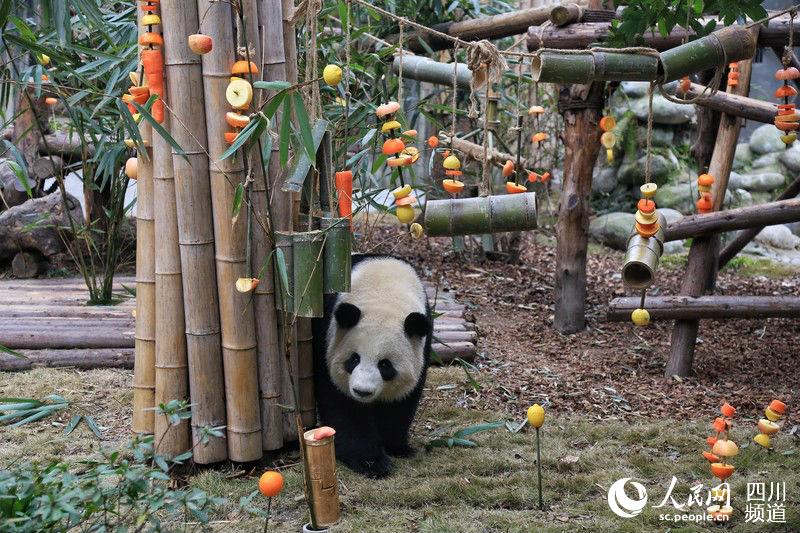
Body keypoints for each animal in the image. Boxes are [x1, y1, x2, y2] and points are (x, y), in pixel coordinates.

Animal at [310, 254, 432, 478]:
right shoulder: (328, 336)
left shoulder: (423, 344)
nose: (362, 391)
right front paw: (371, 461)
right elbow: (343, 404)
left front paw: (398, 447)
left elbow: (400, 403)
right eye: (354, 359)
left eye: (385, 365)